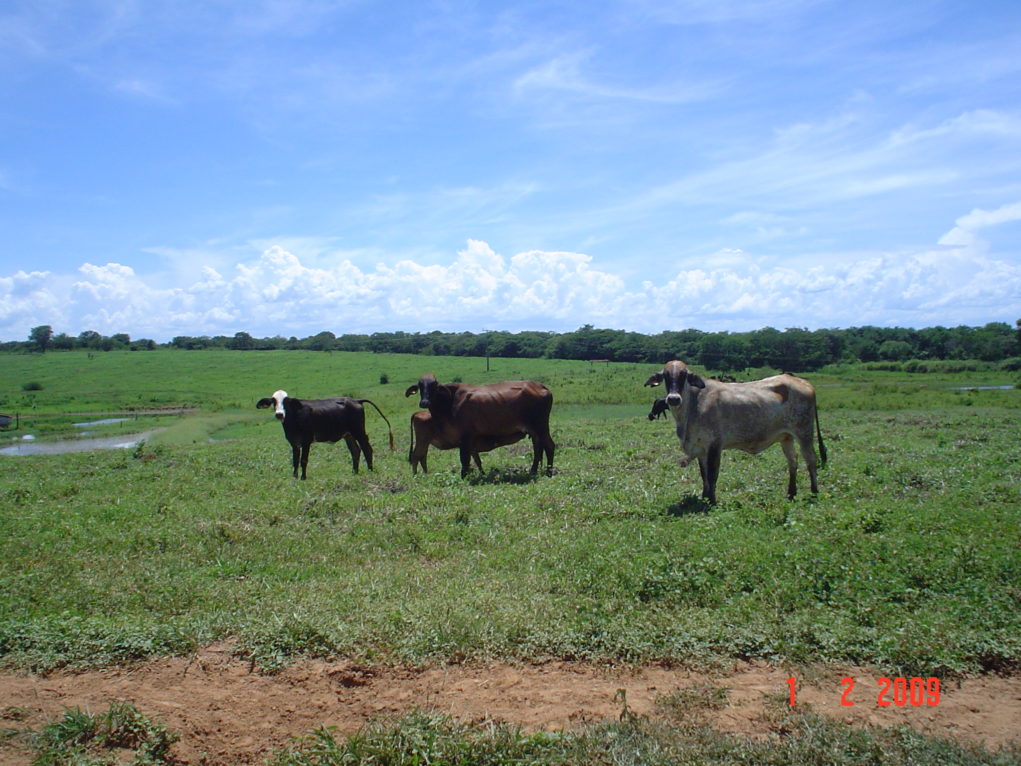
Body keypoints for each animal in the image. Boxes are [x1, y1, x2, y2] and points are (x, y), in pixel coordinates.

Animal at [257, 390, 392, 480]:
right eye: (273, 402)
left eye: (287, 402)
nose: (279, 414)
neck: (294, 419)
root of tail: (355, 400)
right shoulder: (294, 443)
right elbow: (295, 461)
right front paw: (294, 477)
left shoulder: (306, 441)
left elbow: (303, 460)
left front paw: (303, 478)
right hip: (348, 435)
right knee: (355, 451)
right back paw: (355, 472)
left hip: (359, 431)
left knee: (367, 449)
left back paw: (370, 470)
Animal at [402, 375, 555, 477]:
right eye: (420, 386)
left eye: (434, 386)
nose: (424, 402)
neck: (450, 402)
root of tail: (540, 386)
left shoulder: (465, 439)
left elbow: (465, 461)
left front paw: (464, 477)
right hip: (535, 431)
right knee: (538, 449)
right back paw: (534, 471)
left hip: (541, 427)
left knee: (549, 446)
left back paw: (548, 472)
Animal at [645, 359, 829, 504]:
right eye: (666, 376)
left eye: (684, 375)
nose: (673, 399)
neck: (693, 405)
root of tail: (803, 382)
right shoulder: (701, 448)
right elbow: (703, 474)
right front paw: (704, 497)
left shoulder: (715, 445)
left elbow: (712, 474)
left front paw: (711, 500)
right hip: (786, 437)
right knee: (793, 461)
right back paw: (791, 493)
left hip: (804, 432)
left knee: (811, 459)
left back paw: (814, 491)